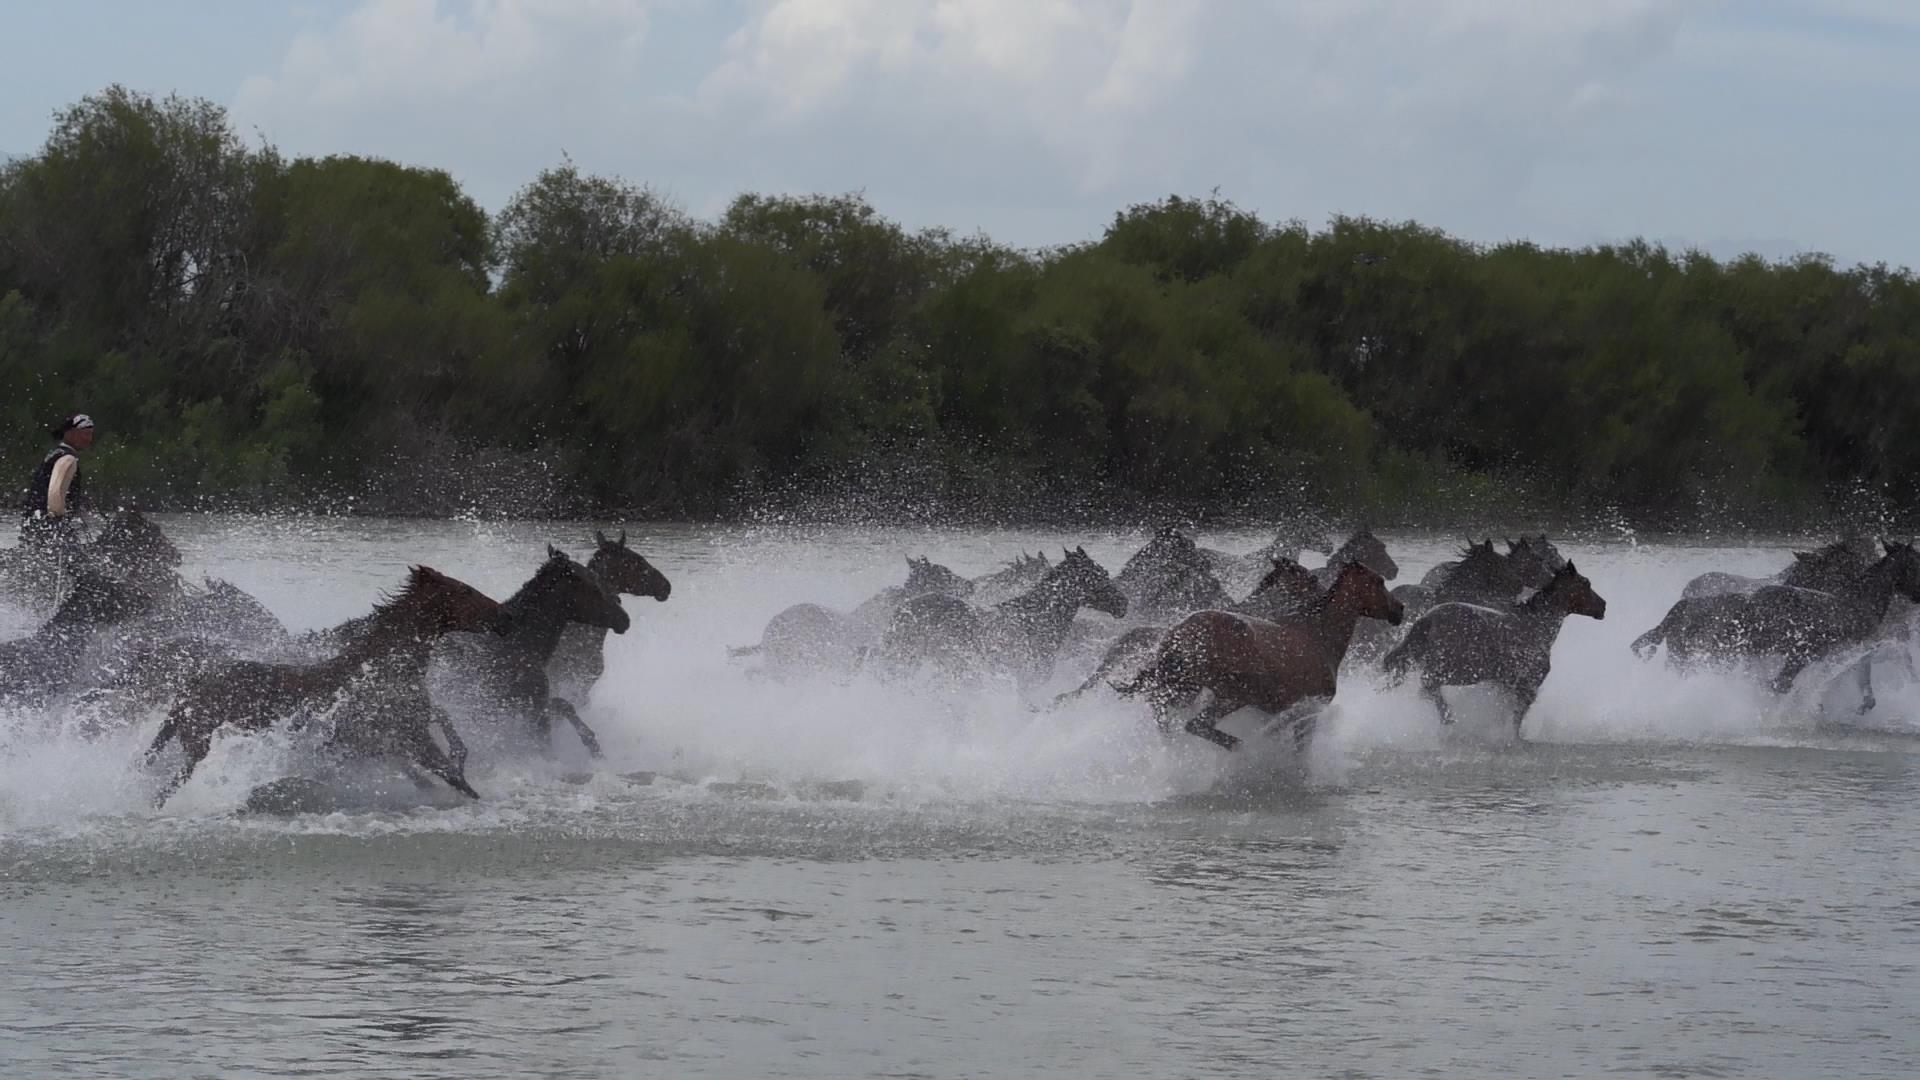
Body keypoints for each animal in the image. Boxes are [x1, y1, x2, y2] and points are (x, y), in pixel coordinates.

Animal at [146, 568, 510, 803]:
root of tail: (189, 690)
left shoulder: (387, 743)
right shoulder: (411, 736)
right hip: (198, 746)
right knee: (167, 788)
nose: (503, 615)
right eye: (464, 591)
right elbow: (454, 777)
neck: (388, 669)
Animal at [1113, 557, 1397, 753]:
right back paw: (1241, 748)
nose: (1400, 609)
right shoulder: (1309, 711)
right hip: (1232, 695)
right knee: (1196, 725)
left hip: (1184, 690)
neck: (1319, 636)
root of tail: (1180, 635)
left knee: (1165, 716)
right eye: (1379, 582)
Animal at [1382, 564, 1605, 730]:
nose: (1603, 606)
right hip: (1456, 671)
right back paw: (1448, 719)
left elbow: (1503, 712)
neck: (1535, 627)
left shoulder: (1505, 684)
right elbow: (1515, 718)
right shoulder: (1528, 686)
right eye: (1586, 584)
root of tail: (1428, 619)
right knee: (1428, 686)